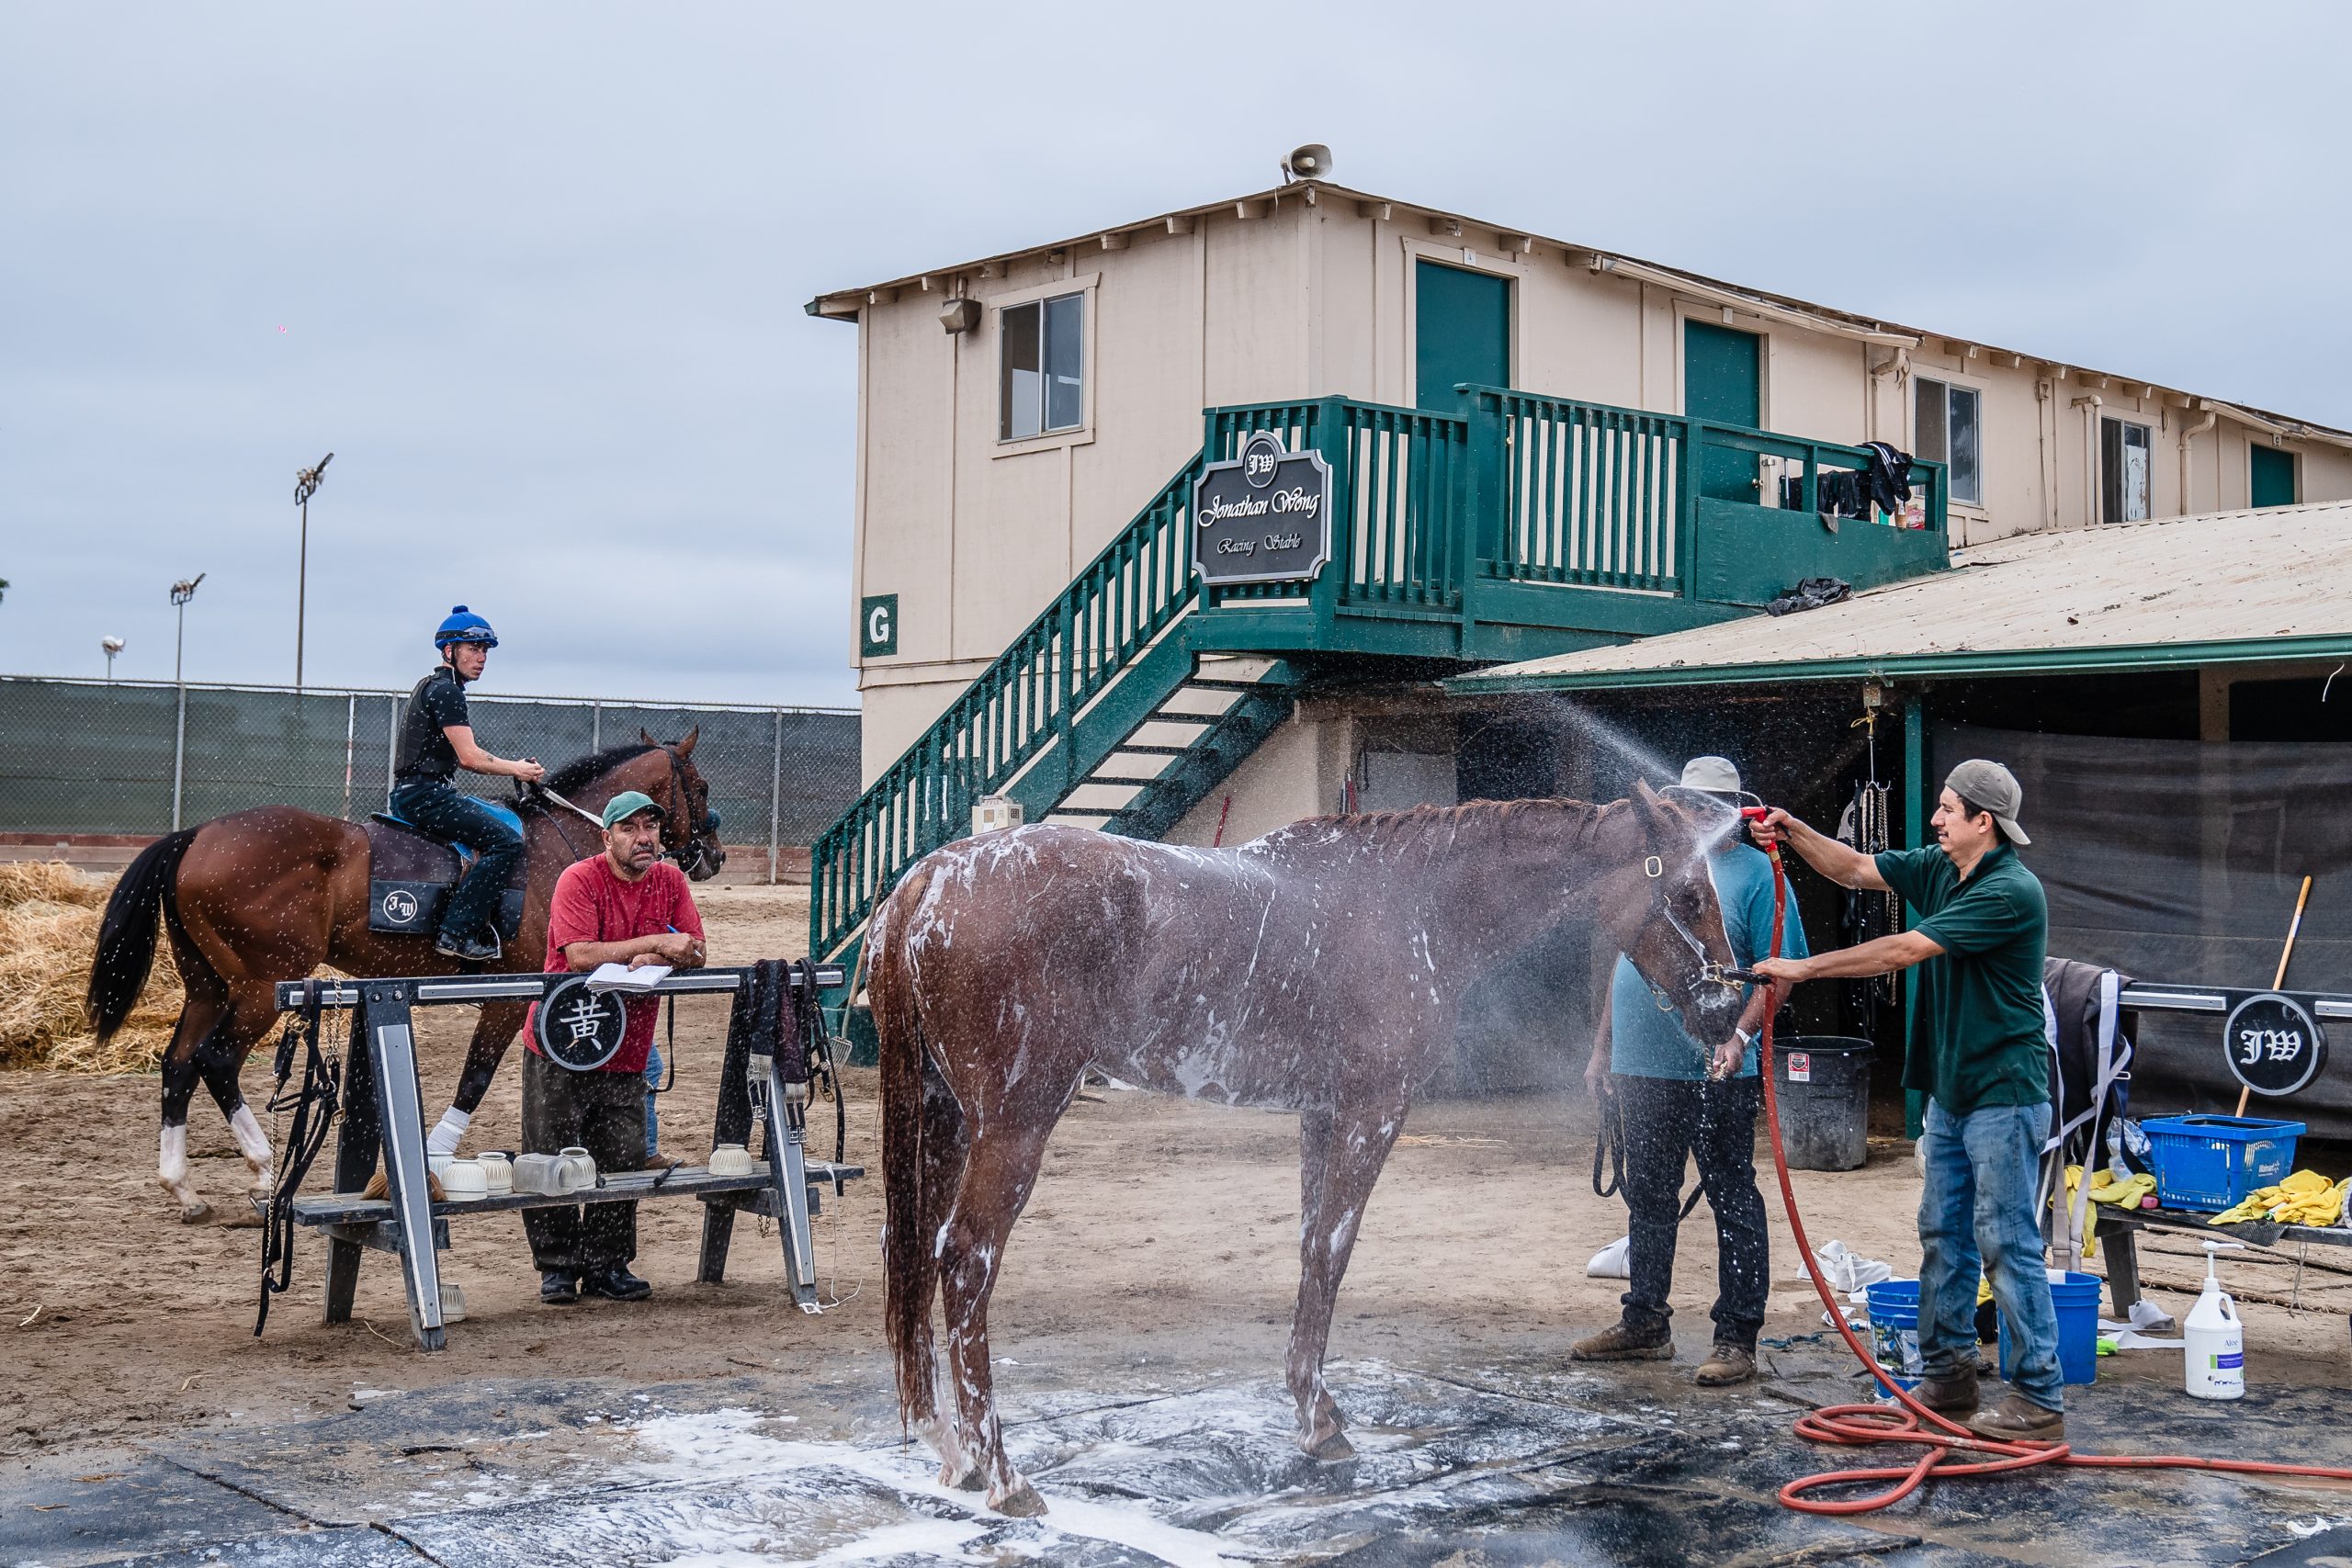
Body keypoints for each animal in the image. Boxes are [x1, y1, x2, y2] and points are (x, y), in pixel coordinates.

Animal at [86, 738, 719, 1222]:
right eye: (702, 788)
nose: (711, 854)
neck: (554, 846)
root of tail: (196, 835)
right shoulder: (513, 999)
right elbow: (476, 1078)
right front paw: (437, 1157)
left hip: (208, 988)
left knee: (178, 1064)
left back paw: (183, 1187)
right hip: (260, 989)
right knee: (216, 1062)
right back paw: (264, 1170)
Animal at [879, 784, 1749, 1523]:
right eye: (1688, 896)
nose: (1727, 1010)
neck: (1410, 904)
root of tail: (928, 879)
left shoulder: (1320, 1117)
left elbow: (1309, 1253)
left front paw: (1311, 1410)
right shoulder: (1371, 1113)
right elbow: (1334, 1250)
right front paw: (1322, 1423)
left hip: (946, 1119)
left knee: (916, 1251)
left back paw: (953, 1453)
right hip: (1015, 1125)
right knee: (965, 1261)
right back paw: (1004, 1473)